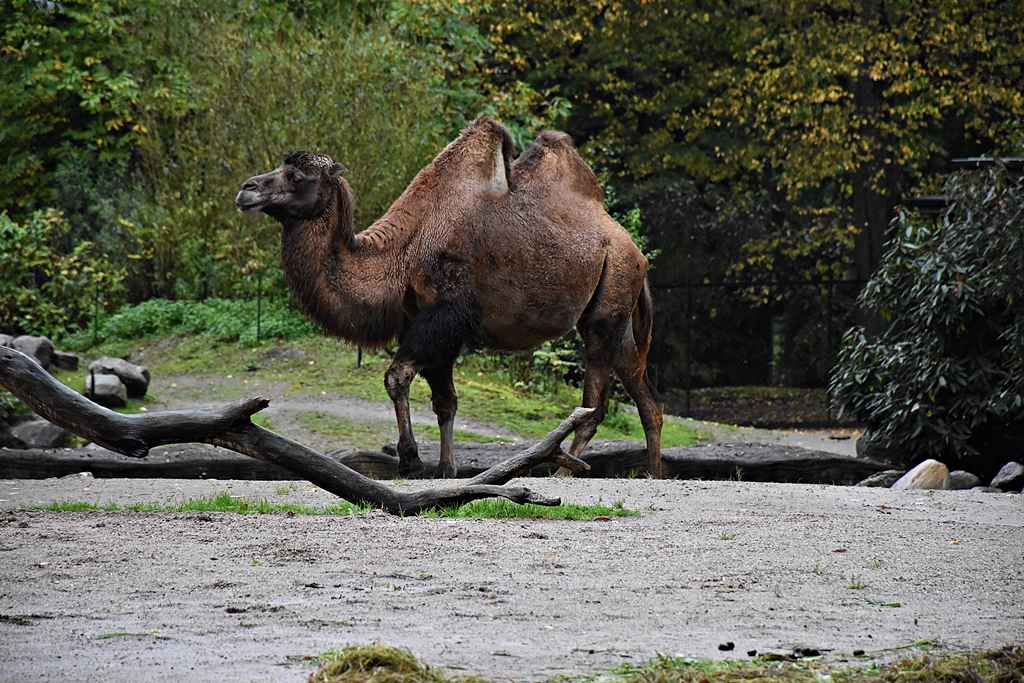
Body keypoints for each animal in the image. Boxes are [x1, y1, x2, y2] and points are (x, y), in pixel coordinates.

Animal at [235, 117, 663, 479]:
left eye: (297, 176)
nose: (246, 189)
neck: (403, 254)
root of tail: (635, 251)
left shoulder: (447, 312)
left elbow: (397, 376)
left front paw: (410, 461)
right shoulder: (430, 323)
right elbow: (446, 401)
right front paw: (445, 470)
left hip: (610, 294)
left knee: (594, 402)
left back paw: (564, 472)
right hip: (616, 305)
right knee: (645, 394)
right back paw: (653, 473)